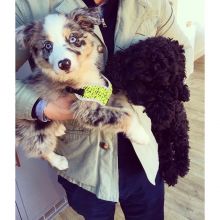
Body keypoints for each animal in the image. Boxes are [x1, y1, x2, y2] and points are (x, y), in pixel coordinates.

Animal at [105, 36, 190, 186]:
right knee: (166, 151)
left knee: (182, 142)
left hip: (178, 126)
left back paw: (182, 165)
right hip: (163, 137)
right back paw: (171, 172)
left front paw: (181, 92)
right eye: (139, 78)